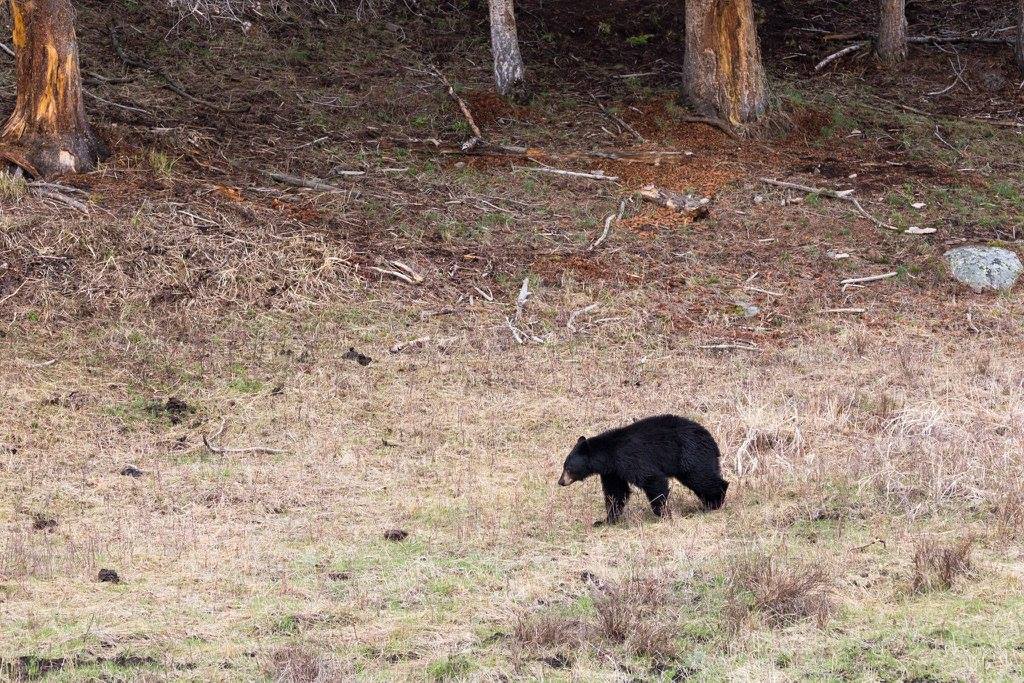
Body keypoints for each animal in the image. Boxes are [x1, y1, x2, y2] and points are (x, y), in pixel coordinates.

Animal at [561, 413, 729, 528]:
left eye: (567, 467)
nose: (560, 481)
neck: (609, 455)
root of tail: (711, 439)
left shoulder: (630, 459)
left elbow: (652, 479)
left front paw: (663, 514)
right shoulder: (612, 472)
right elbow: (616, 492)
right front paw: (604, 520)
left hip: (690, 454)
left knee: (702, 477)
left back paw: (715, 502)